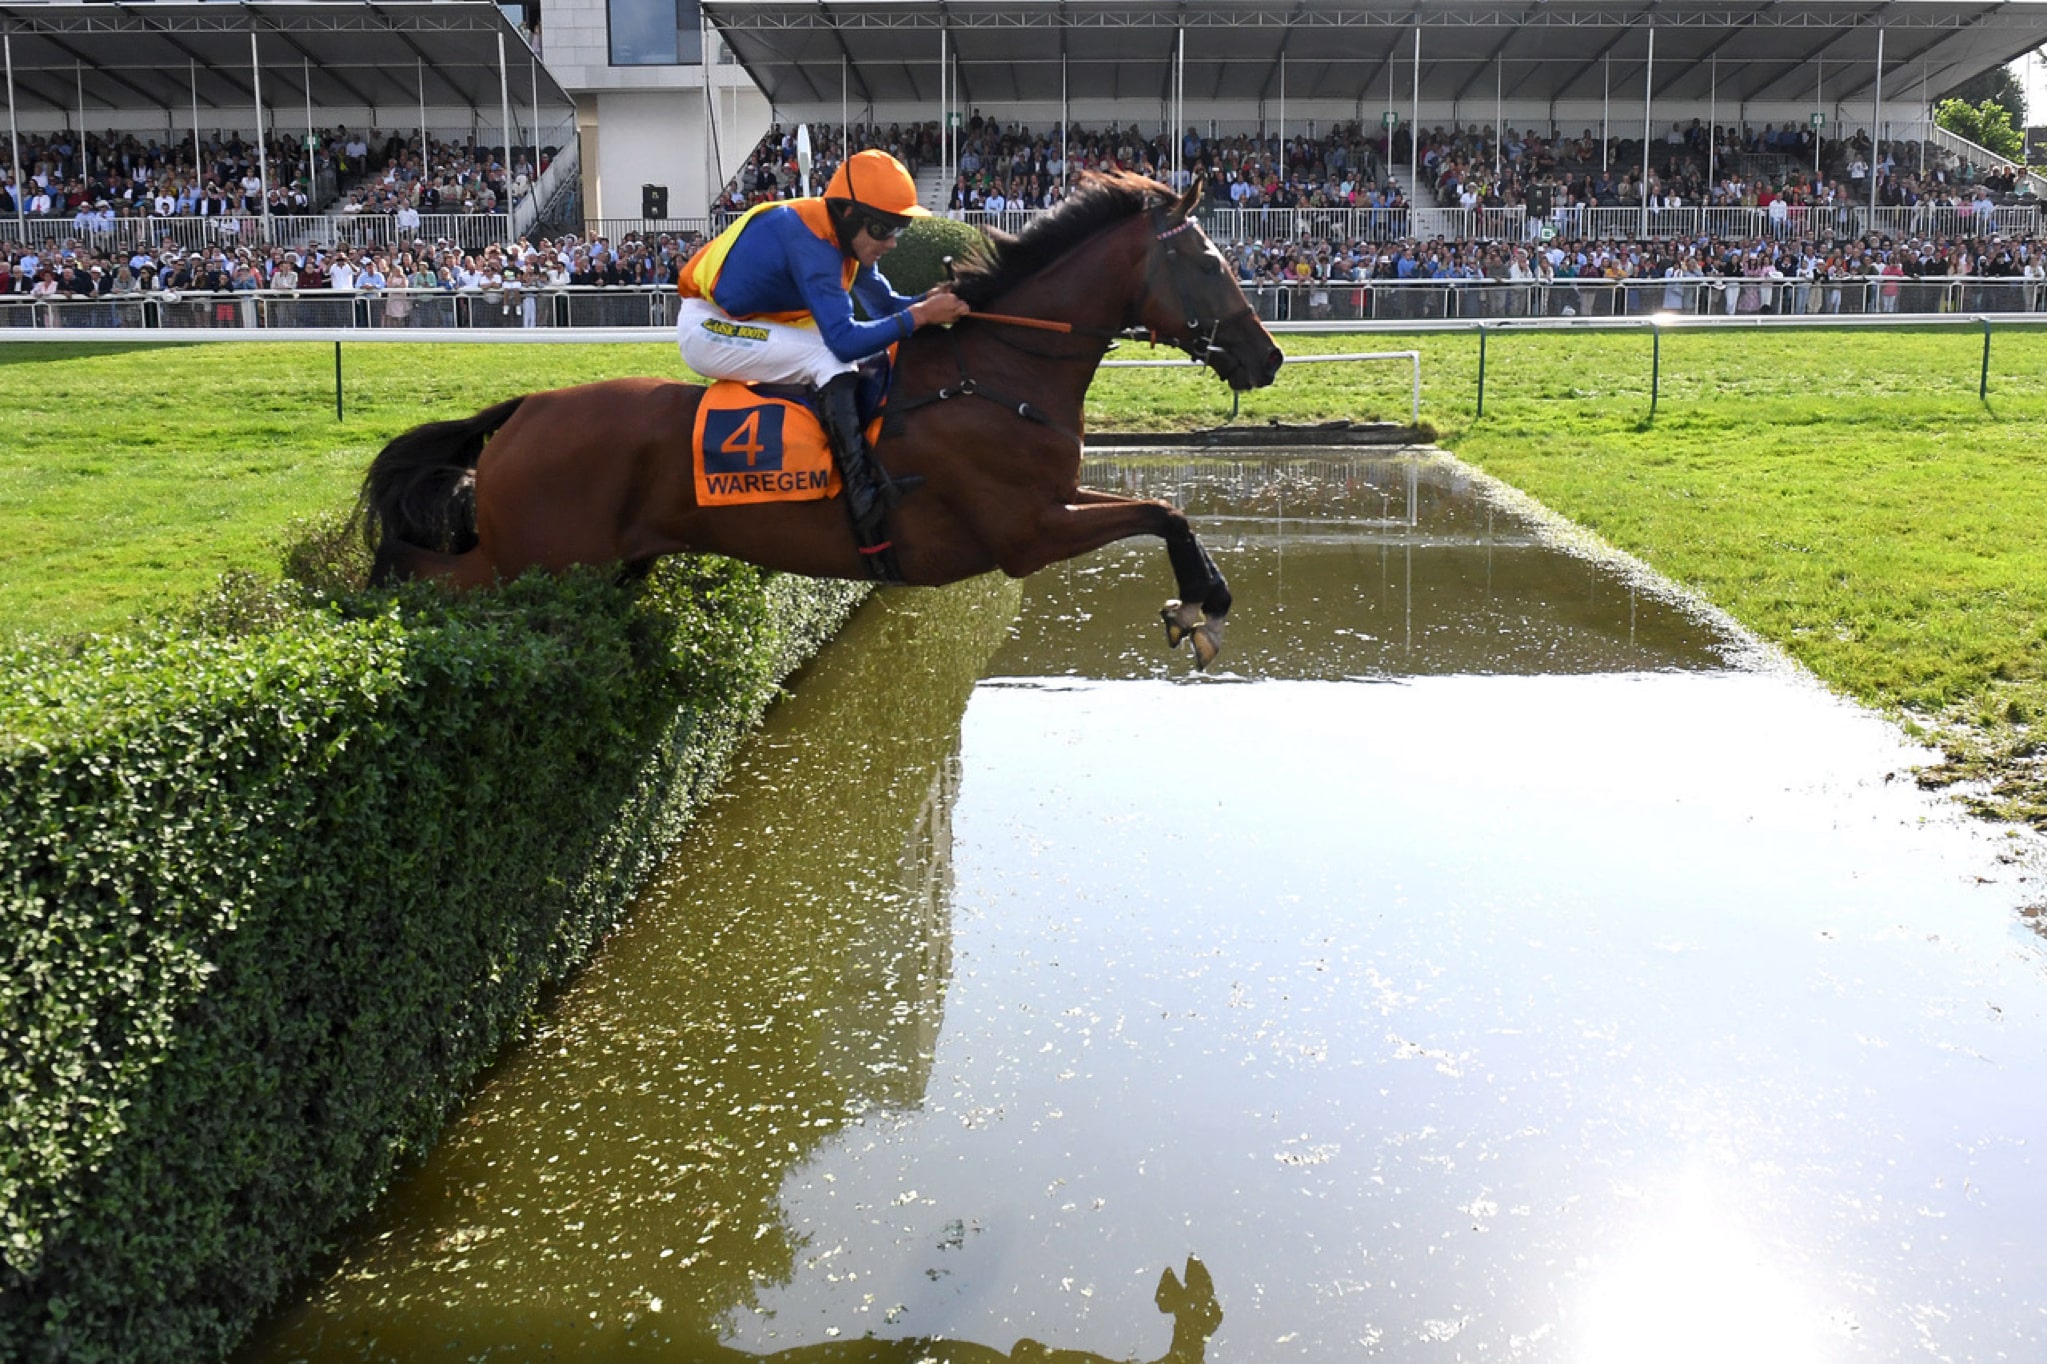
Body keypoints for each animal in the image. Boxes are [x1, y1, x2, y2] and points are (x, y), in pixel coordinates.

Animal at [352, 173, 1277, 667]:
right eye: (1207, 262)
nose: (1265, 357)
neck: (991, 373)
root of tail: (524, 411)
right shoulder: (1026, 531)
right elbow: (1160, 511)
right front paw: (1202, 607)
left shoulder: (1057, 497)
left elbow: (1166, 510)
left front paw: (1196, 605)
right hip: (532, 565)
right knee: (416, 566)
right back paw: (368, 599)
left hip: (603, 569)